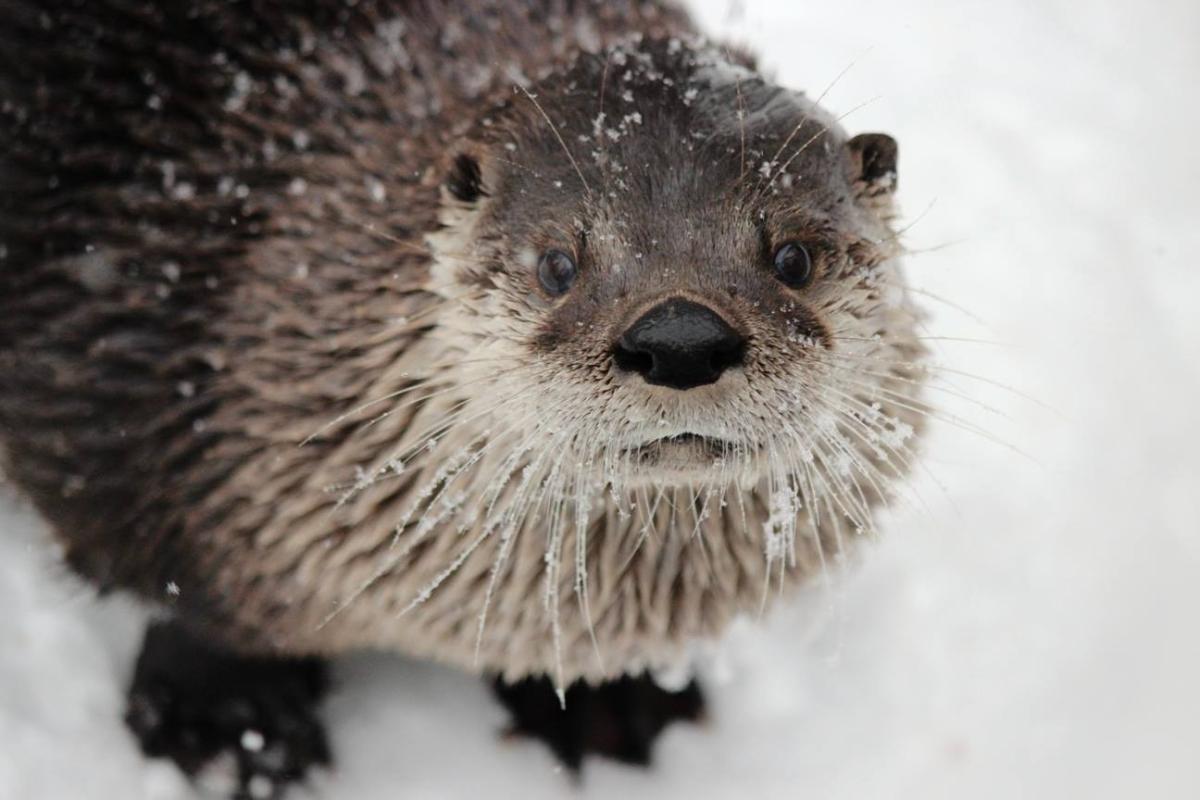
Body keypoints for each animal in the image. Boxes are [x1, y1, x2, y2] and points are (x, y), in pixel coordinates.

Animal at [0, 0, 927, 795]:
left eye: (793, 258)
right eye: (557, 264)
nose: (680, 341)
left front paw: (612, 703)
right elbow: (184, 602)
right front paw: (230, 727)